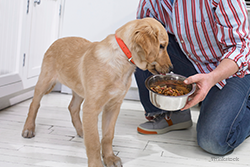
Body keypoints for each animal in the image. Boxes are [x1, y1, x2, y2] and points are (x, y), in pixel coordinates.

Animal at [22, 17, 173, 167]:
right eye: (161, 46)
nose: (171, 68)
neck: (122, 60)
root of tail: (56, 41)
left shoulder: (113, 106)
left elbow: (107, 136)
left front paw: (110, 158)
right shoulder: (92, 107)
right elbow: (94, 141)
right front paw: (96, 163)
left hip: (80, 89)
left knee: (73, 107)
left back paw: (81, 130)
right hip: (44, 81)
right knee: (34, 104)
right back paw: (29, 128)